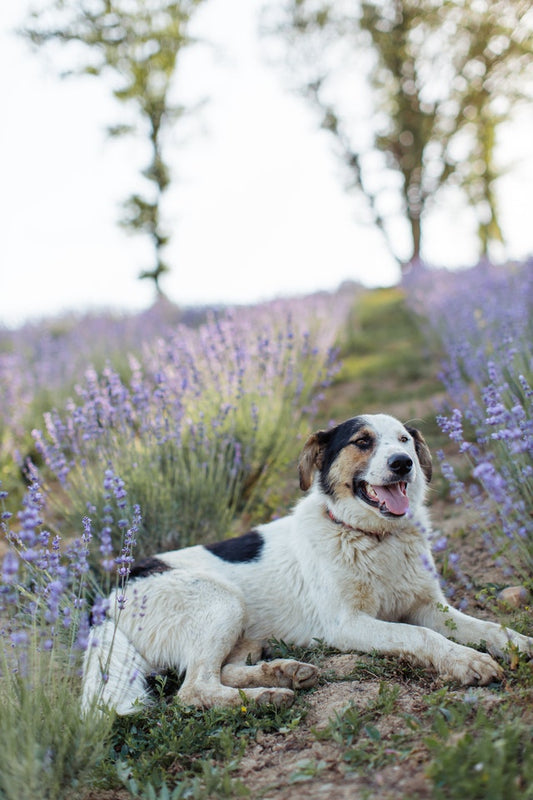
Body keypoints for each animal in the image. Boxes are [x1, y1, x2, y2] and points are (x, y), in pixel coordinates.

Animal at [80, 412, 532, 712]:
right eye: (362, 442)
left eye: (404, 440)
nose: (403, 463)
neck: (374, 538)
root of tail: (113, 590)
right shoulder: (348, 624)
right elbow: (421, 637)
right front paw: (467, 661)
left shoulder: (429, 606)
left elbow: (487, 627)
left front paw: (517, 643)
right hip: (221, 602)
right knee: (192, 690)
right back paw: (265, 696)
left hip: (244, 630)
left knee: (221, 670)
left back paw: (281, 673)